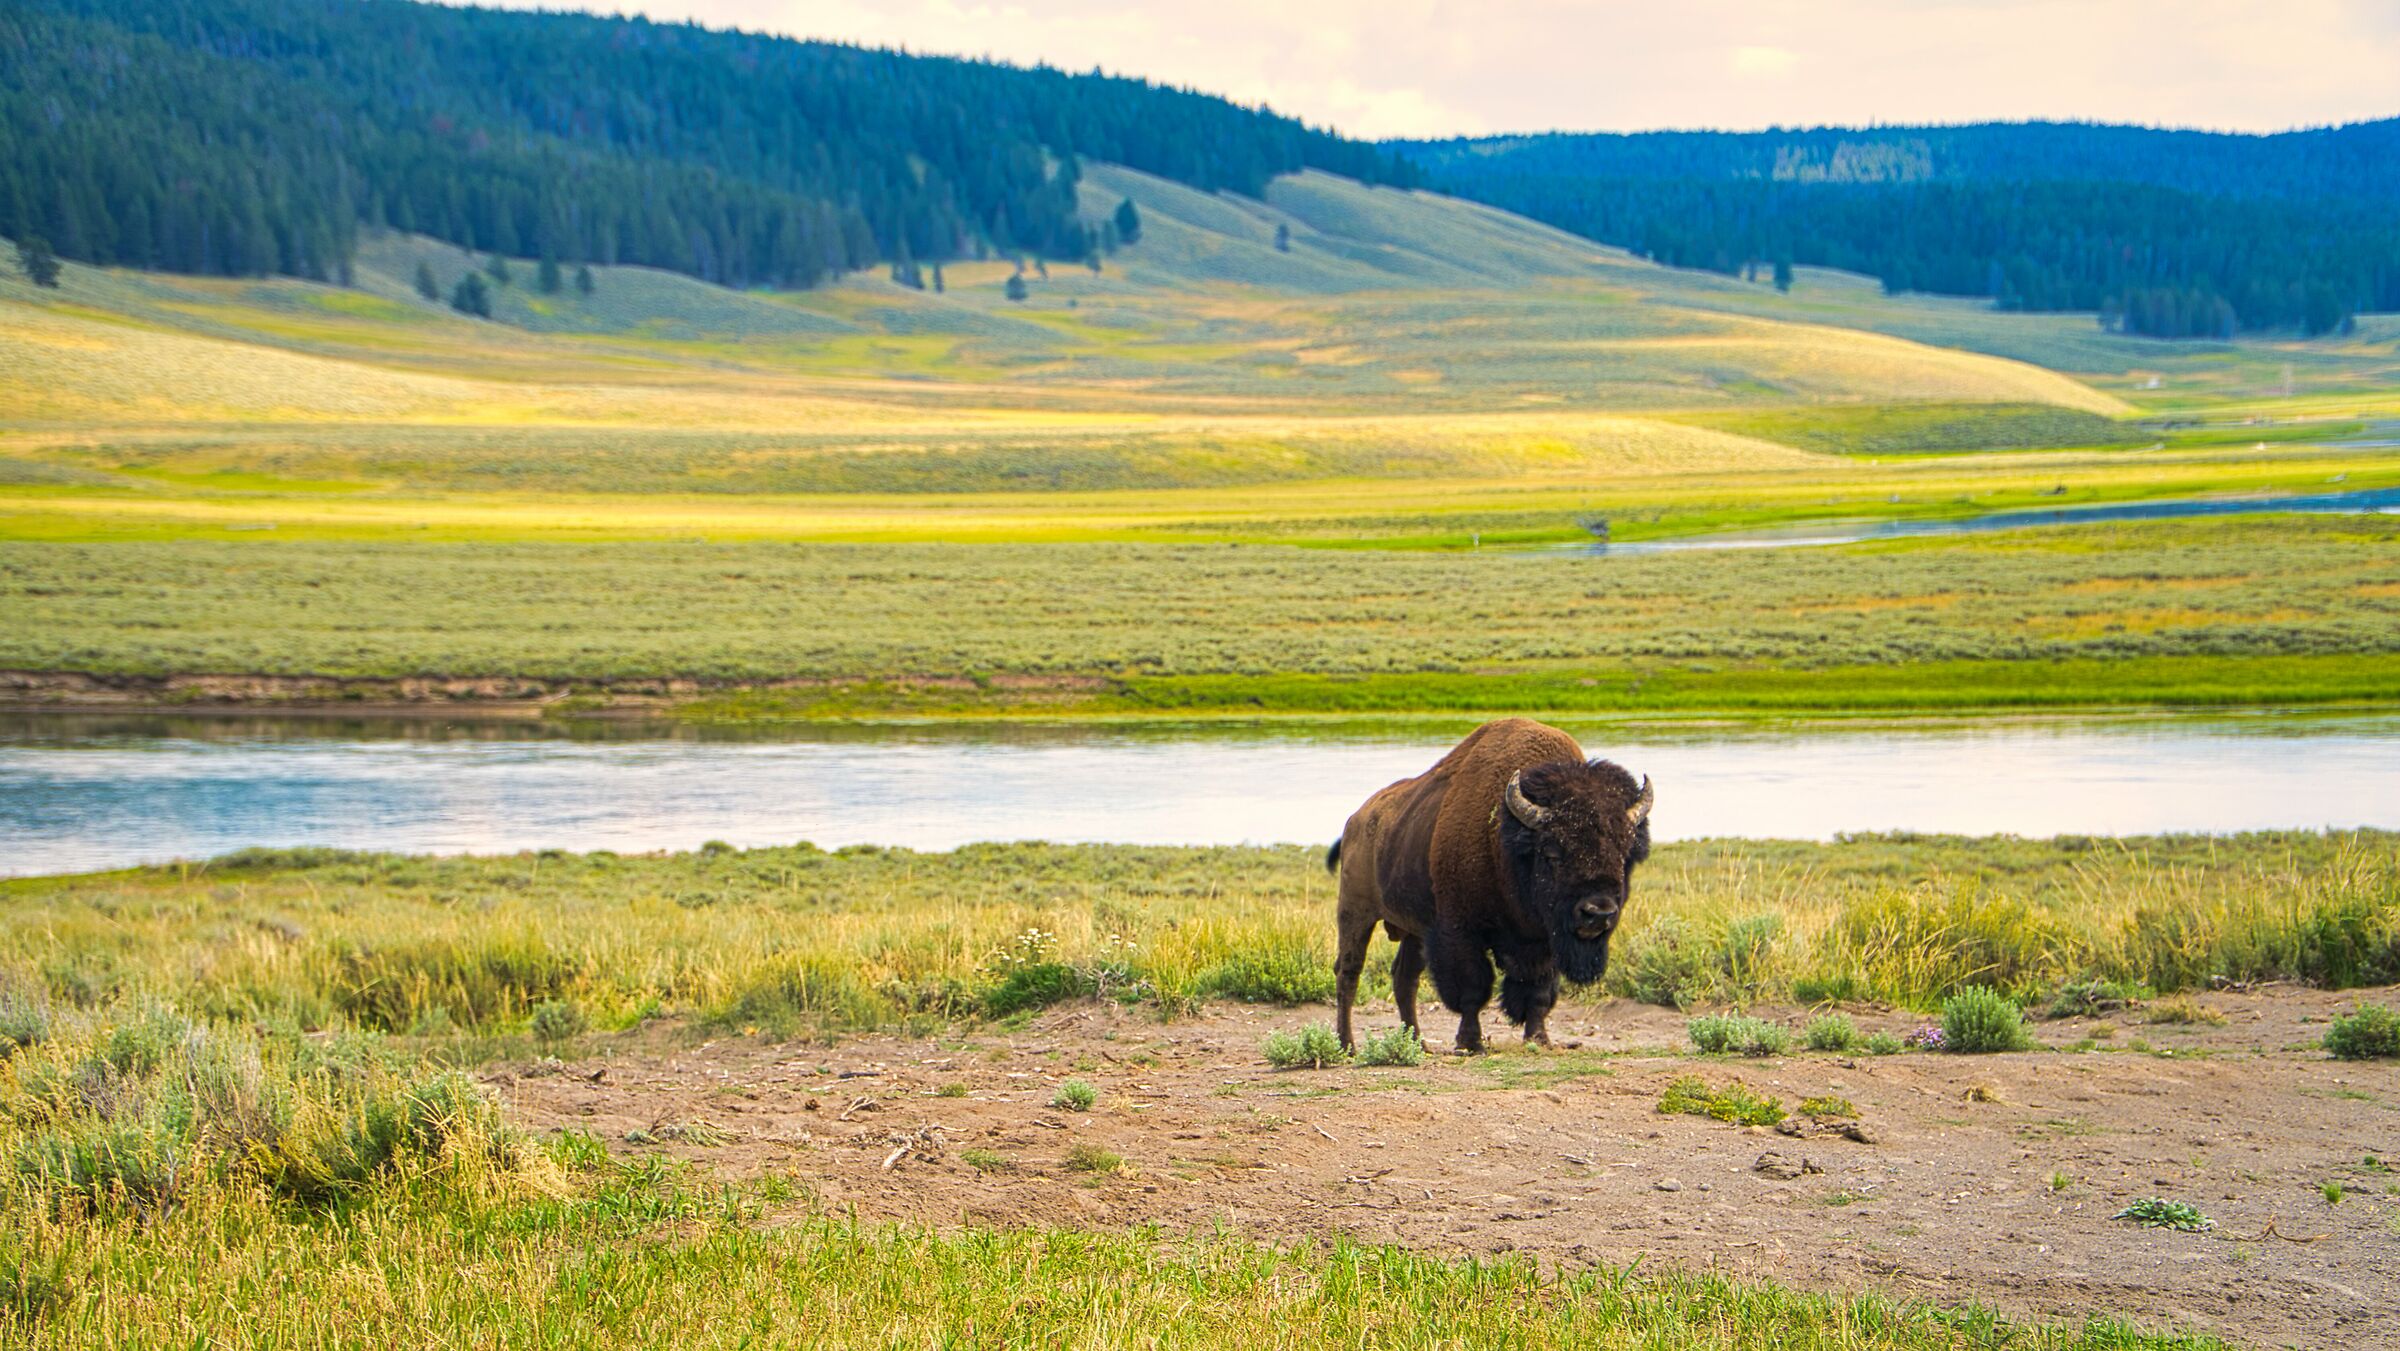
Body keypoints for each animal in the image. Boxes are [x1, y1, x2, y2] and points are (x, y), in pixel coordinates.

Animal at [1327, 718, 1652, 1053]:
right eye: (1552, 852)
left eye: (1625, 855)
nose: (1598, 913)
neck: (1506, 841)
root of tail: (1356, 819)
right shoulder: (1461, 931)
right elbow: (1473, 987)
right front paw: (1471, 1042)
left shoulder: (1543, 939)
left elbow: (1539, 990)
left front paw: (1539, 1038)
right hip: (1356, 914)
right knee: (1349, 972)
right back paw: (1347, 1045)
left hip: (1414, 931)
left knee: (1404, 977)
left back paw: (1418, 1043)